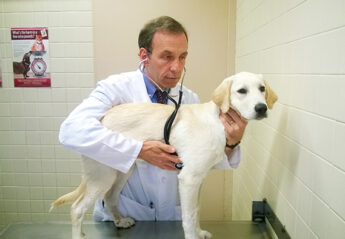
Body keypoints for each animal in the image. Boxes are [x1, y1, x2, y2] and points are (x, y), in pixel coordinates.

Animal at [50, 72, 276, 238]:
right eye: (241, 91)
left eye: (262, 89)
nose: (261, 108)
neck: (217, 120)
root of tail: (101, 117)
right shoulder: (189, 179)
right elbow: (188, 217)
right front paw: (192, 236)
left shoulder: (198, 180)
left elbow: (196, 211)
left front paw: (200, 232)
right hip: (103, 175)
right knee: (77, 209)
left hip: (122, 171)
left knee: (110, 196)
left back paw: (120, 221)